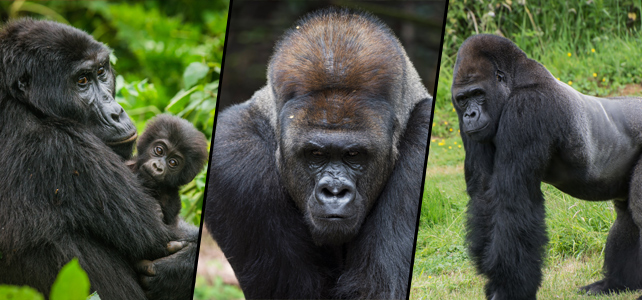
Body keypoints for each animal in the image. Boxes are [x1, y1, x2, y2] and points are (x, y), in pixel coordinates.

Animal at [0, 19, 198, 300]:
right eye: (82, 80)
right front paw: (179, 268)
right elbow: (160, 236)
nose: (116, 112)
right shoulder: (66, 148)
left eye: (101, 71)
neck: (22, 103)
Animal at [450, 33, 640, 300]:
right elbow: (484, 194)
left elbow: (514, 201)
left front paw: (510, 287)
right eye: (463, 99)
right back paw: (616, 283)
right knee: (627, 214)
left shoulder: (527, 109)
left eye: (478, 93)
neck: (515, 81)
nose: (470, 115)